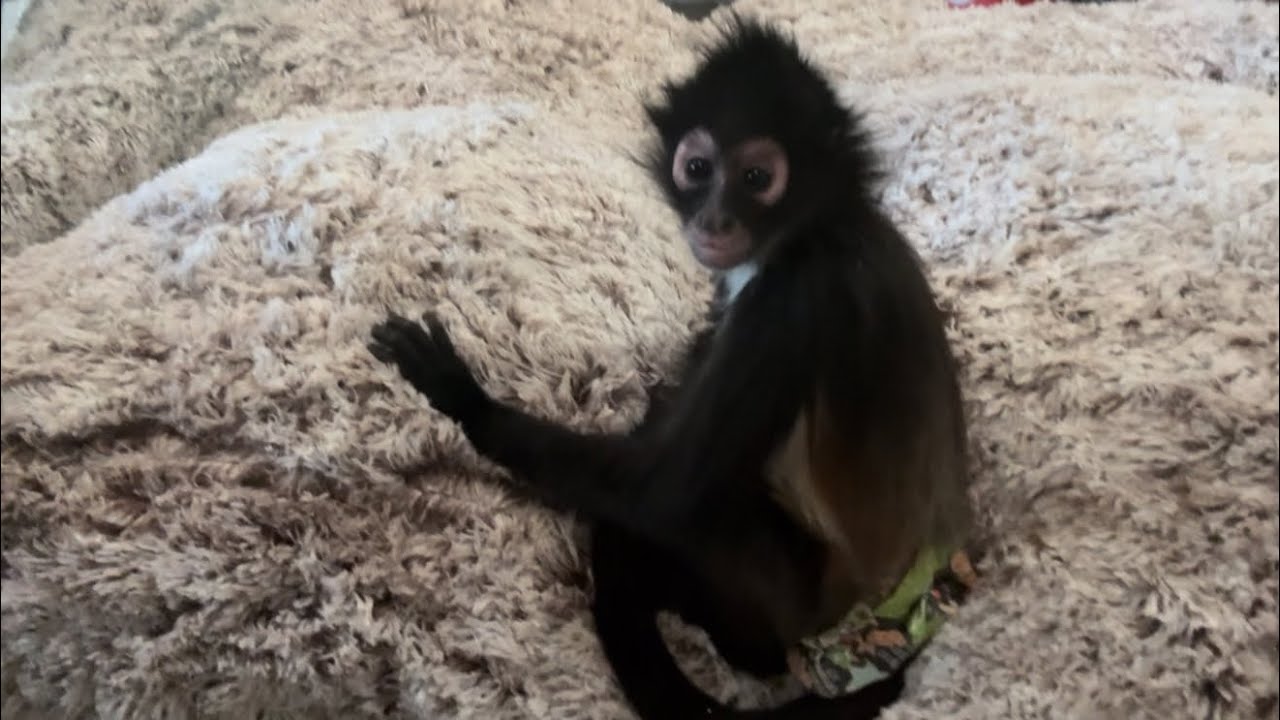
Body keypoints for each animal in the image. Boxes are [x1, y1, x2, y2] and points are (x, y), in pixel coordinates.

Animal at [369, 17, 974, 720]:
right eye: (698, 169)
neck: (814, 230)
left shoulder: (792, 304)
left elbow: (667, 487)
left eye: (757, 177)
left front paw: (464, 398)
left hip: (784, 597)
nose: (715, 218)